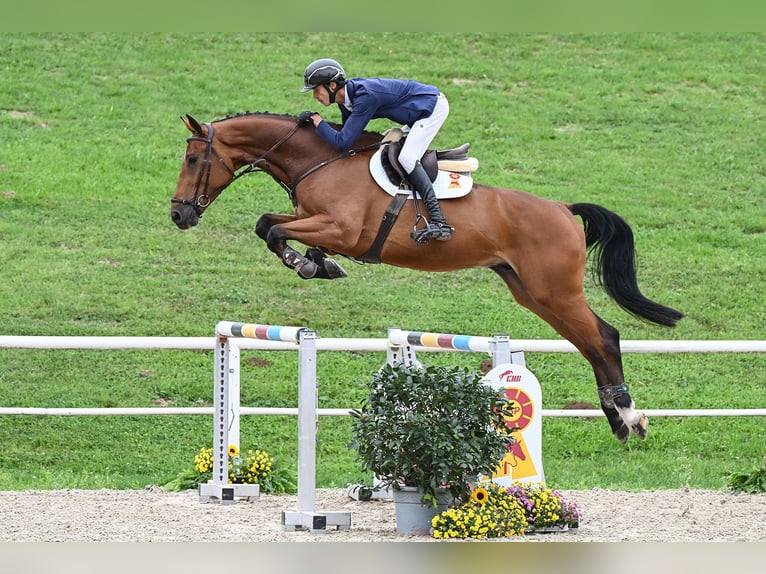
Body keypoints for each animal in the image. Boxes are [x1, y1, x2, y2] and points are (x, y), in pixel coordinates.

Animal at [171, 111, 688, 446]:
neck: (320, 161)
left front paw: (308, 264)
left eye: (193, 160)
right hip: (533, 293)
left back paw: (628, 417)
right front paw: (318, 263)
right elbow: (267, 224)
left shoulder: (340, 229)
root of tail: (563, 209)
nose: (179, 214)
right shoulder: (314, 221)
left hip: (555, 291)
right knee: (591, 343)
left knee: (605, 337)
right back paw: (620, 420)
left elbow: (275, 229)